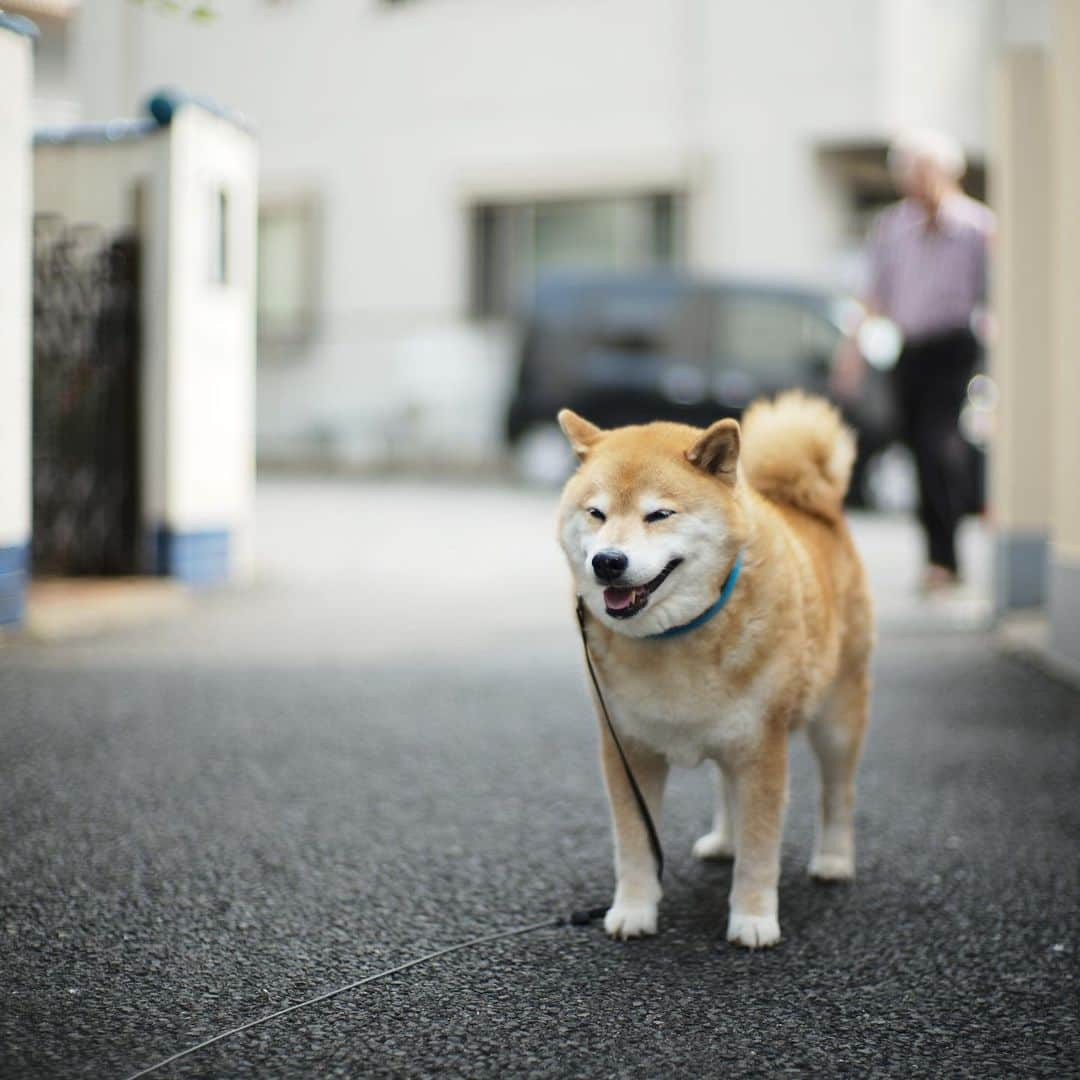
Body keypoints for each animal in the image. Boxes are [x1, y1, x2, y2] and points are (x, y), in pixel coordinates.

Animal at [552, 395, 872, 946]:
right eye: (596, 513)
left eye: (658, 514)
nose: (607, 561)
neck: (675, 637)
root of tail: (817, 506)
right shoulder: (628, 751)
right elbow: (634, 846)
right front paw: (634, 911)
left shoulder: (763, 751)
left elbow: (761, 850)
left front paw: (753, 919)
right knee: (726, 786)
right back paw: (725, 841)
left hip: (836, 718)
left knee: (838, 792)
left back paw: (832, 860)